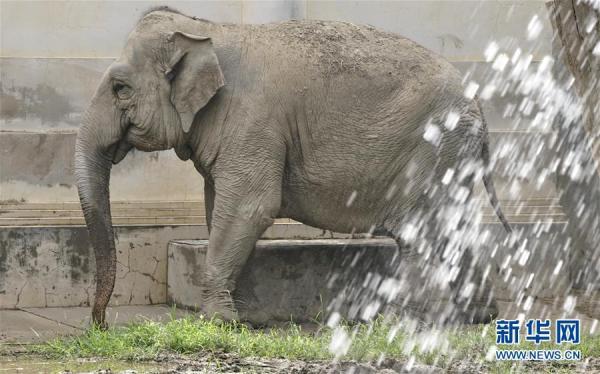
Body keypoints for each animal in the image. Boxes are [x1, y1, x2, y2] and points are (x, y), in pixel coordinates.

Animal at [75, 6, 510, 328]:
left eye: (120, 88)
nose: (102, 324)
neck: (209, 30)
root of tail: (478, 105)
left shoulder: (253, 122)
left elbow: (249, 207)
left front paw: (218, 321)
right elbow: (218, 207)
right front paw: (235, 315)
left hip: (433, 146)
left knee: (422, 230)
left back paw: (402, 323)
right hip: (451, 155)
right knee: (456, 224)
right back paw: (478, 317)